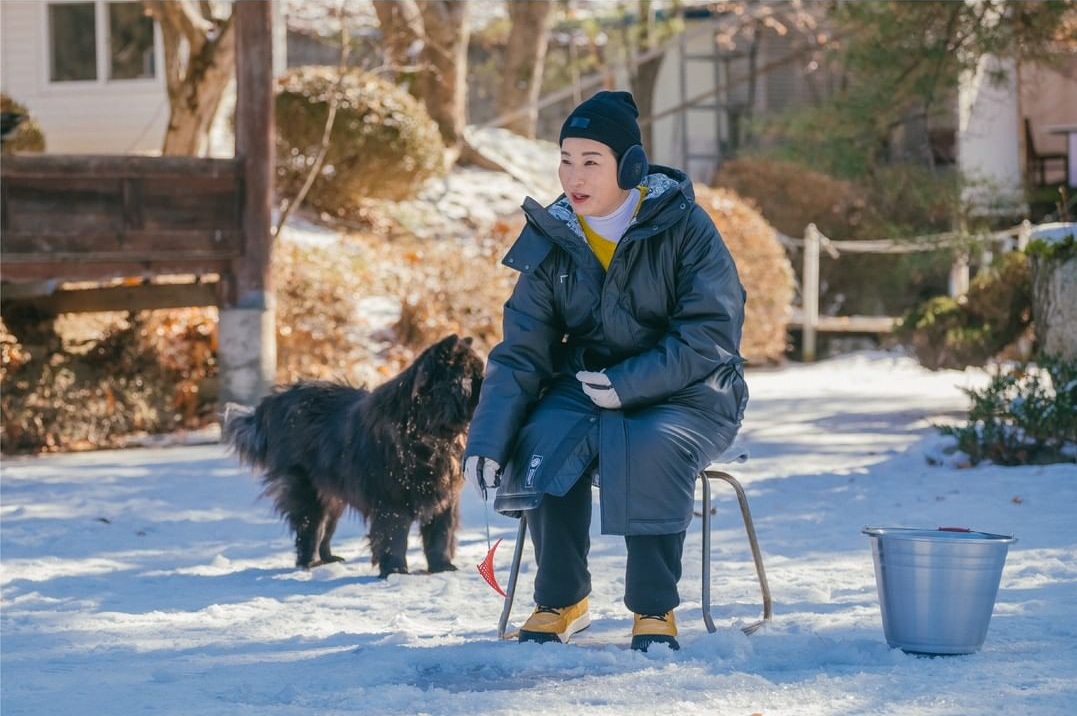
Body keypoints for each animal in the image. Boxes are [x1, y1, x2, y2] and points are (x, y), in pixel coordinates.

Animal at [222, 334, 484, 577]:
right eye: (471, 375)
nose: (488, 382)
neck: (428, 431)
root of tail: (277, 401)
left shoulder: (444, 499)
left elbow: (440, 536)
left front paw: (442, 568)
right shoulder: (392, 501)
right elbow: (394, 539)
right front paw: (395, 572)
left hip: (332, 495)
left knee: (325, 531)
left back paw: (329, 560)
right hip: (308, 493)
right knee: (310, 531)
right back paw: (309, 564)